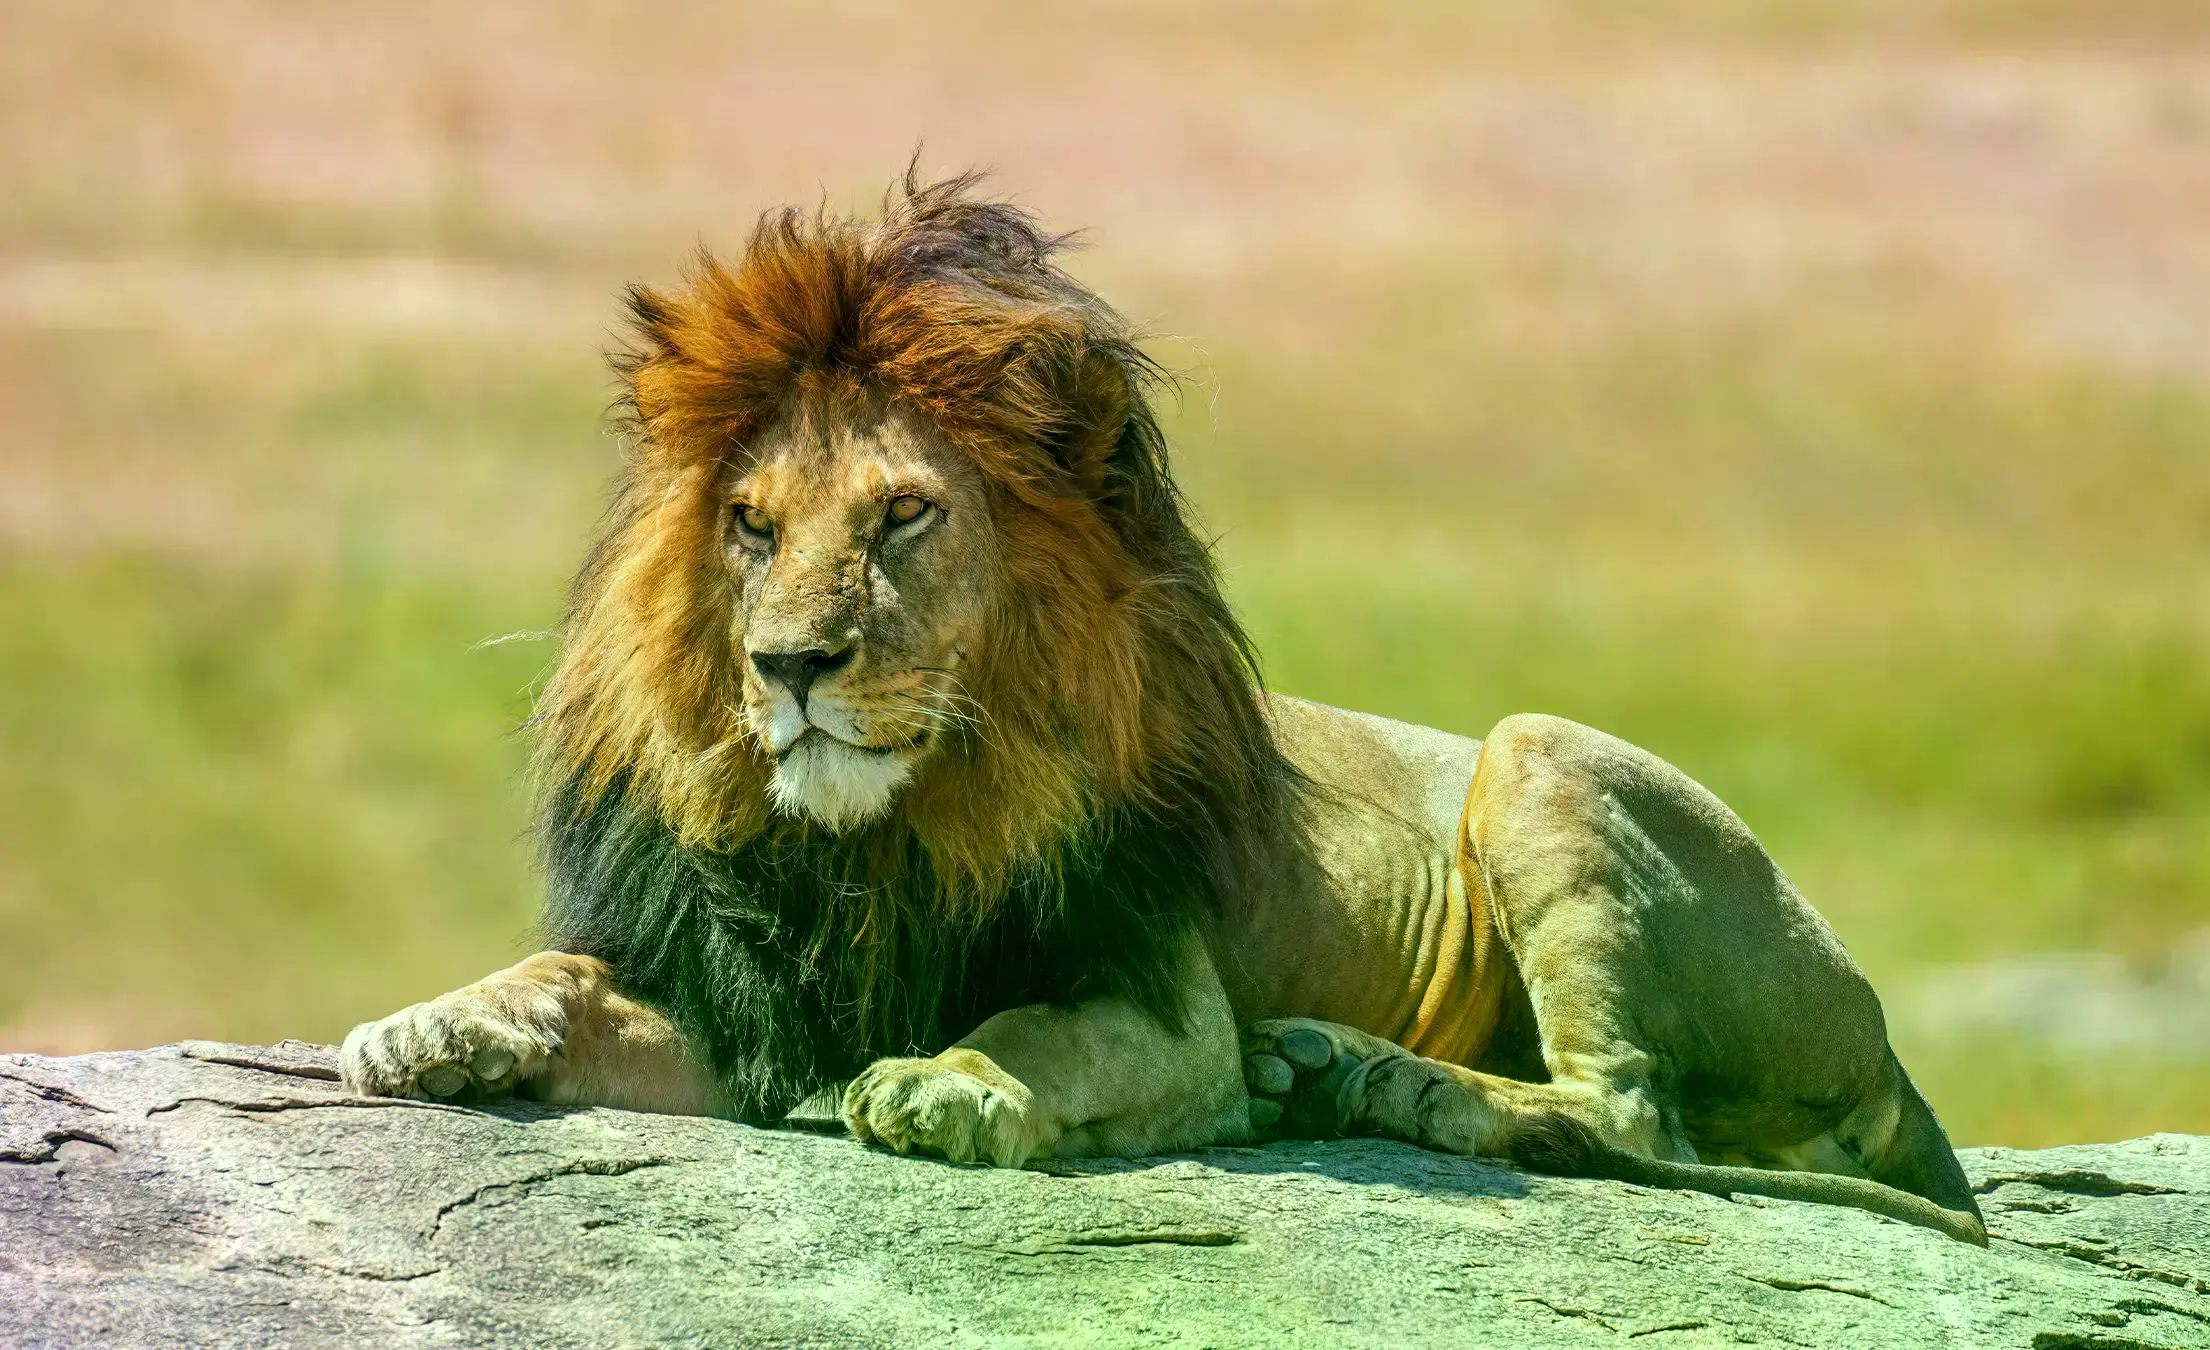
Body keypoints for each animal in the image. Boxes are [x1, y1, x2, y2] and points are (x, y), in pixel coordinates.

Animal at [340, 172, 1986, 1245]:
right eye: (749, 525)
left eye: (902, 515)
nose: (790, 666)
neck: (883, 844)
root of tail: (1887, 1042)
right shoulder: (749, 1009)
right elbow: (561, 974)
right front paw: (434, 1024)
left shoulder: (1162, 1000)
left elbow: (1035, 1029)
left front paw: (948, 1080)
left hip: (1538, 755)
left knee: (1627, 1115)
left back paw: (1370, 1077)